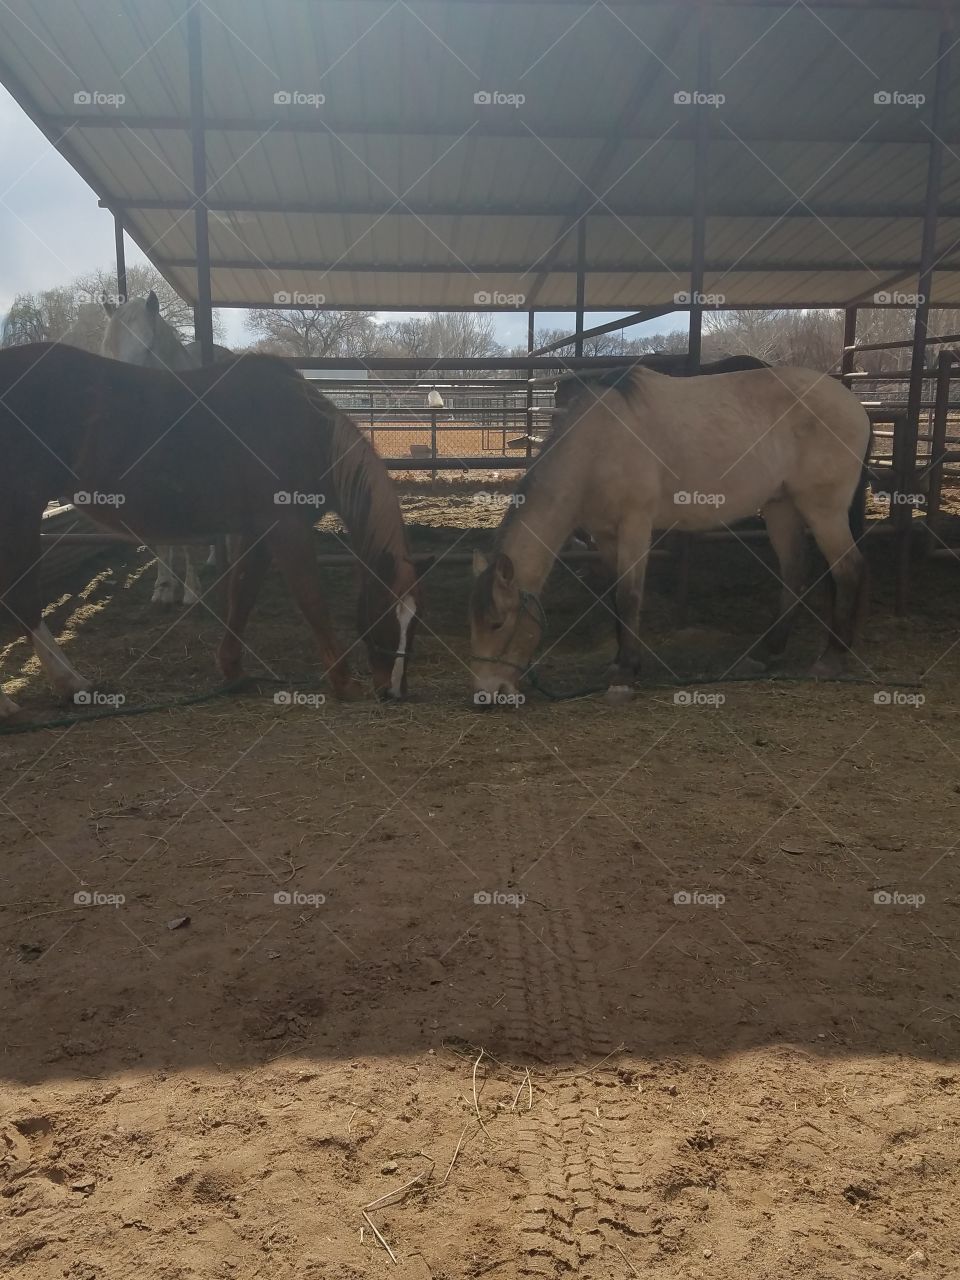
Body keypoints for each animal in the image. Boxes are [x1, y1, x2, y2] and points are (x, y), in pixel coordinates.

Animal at [0, 345, 419, 716]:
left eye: (414, 625)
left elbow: (242, 594)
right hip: (18, 512)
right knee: (21, 600)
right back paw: (62, 687)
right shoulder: (286, 529)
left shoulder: (258, 531)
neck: (301, 431)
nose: (394, 692)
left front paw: (232, 668)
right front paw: (344, 683)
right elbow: (312, 601)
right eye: (383, 617)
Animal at [471, 360, 870, 706]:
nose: (487, 694)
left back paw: (832, 658)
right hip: (780, 507)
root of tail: (855, 406)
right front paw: (621, 662)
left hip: (823, 509)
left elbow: (629, 596)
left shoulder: (635, 524)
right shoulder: (606, 535)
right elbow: (614, 596)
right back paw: (767, 653)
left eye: (498, 623)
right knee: (794, 571)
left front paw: (625, 677)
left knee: (848, 568)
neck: (597, 444)